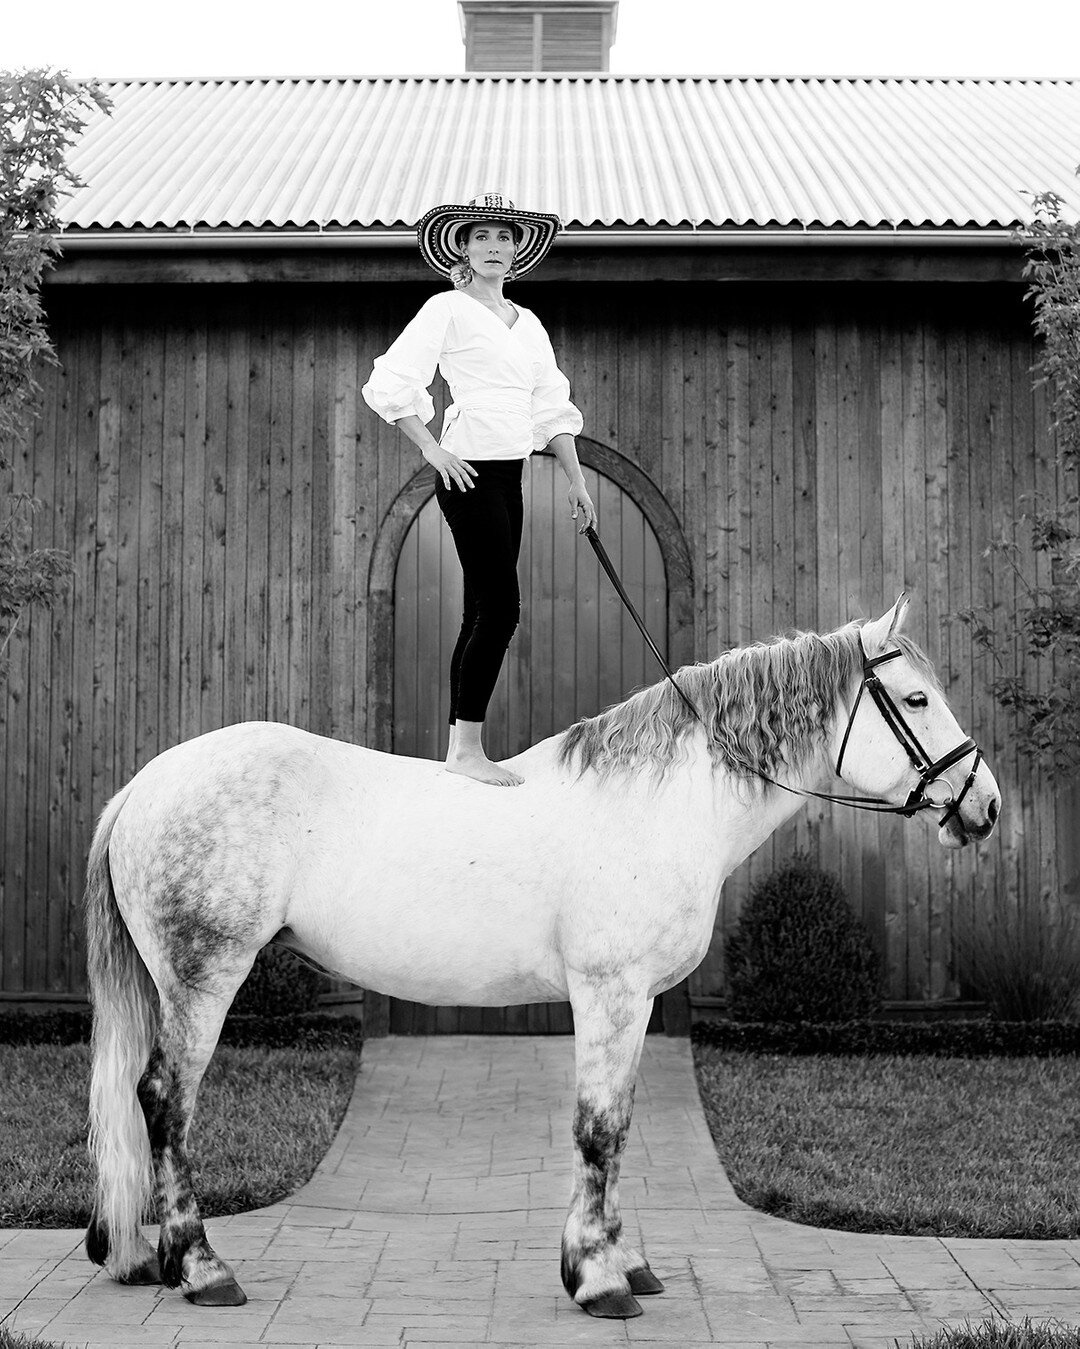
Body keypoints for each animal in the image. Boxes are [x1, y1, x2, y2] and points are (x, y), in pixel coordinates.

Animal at [84, 598, 1003, 1316]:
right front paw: (597, 1280)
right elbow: (598, 1129)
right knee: (164, 1099)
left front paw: (625, 1260)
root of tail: (144, 785)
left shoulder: (633, 1005)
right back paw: (201, 1268)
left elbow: (620, 1124)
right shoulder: (610, 994)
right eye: (916, 696)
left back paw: (141, 1255)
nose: (985, 804)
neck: (659, 801)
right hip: (204, 977)